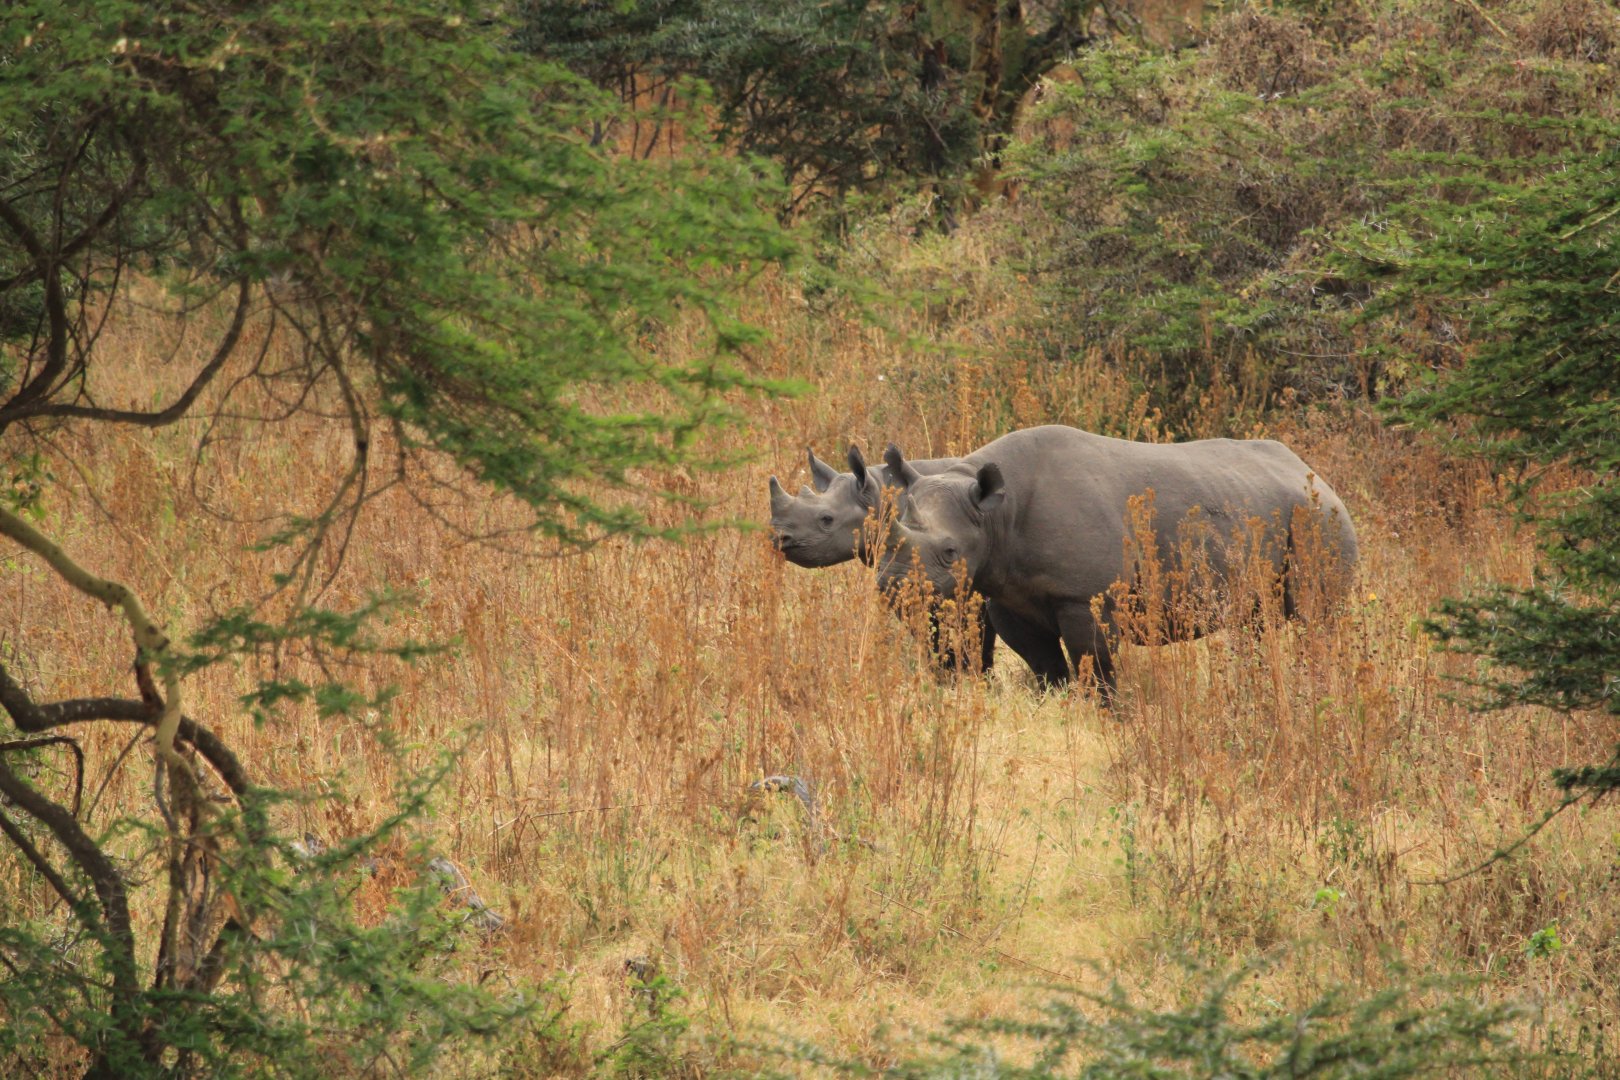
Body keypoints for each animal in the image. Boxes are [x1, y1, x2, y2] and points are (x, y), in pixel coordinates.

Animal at [768, 445, 997, 671]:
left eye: (826, 519)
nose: (777, 536)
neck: (879, 492)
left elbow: (979, 635)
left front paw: (975, 673)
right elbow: (927, 632)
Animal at [876, 425, 1358, 697]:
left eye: (950, 552)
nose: (892, 584)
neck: (993, 514)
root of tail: (1318, 475)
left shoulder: (1084, 596)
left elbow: (1095, 663)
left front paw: (1105, 714)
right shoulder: (1008, 595)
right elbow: (1046, 666)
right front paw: (1059, 704)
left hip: (1320, 519)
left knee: (1317, 617)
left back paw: (1319, 691)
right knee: (1254, 621)